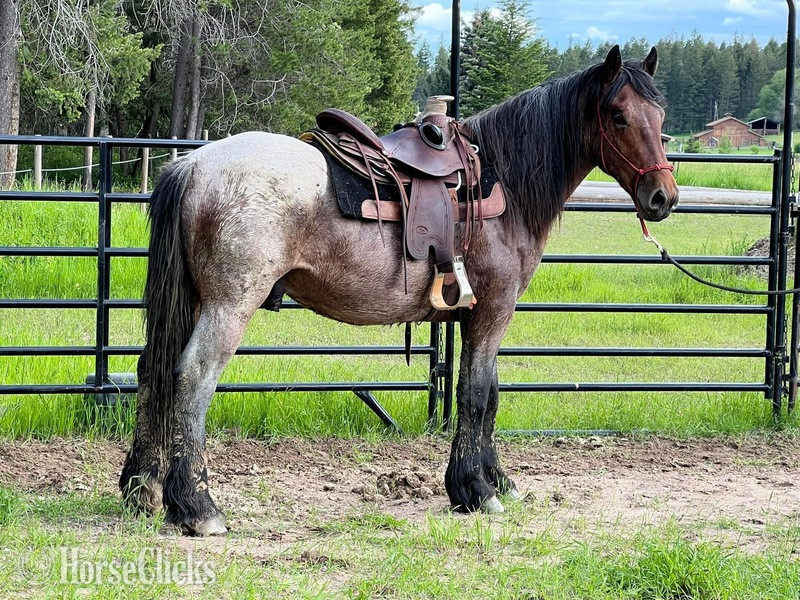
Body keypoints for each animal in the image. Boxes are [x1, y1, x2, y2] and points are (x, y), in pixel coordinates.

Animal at [119, 45, 679, 536]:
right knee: (192, 377)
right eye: (618, 116)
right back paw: (198, 507)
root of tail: (193, 165)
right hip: (229, 304)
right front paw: (476, 491)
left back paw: (142, 491)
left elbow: (491, 394)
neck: (504, 180)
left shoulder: (483, 314)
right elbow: (476, 394)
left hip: (194, 301)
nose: (664, 198)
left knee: (153, 370)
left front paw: (498, 481)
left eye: (660, 114)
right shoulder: (493, 310)